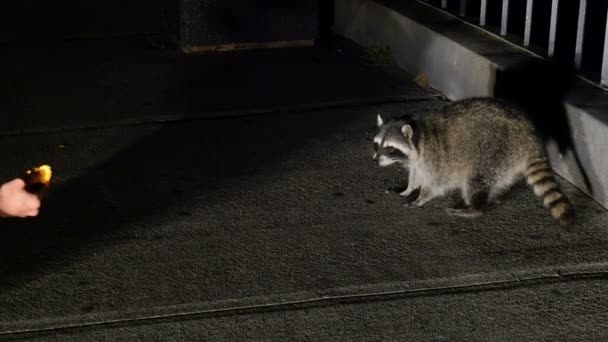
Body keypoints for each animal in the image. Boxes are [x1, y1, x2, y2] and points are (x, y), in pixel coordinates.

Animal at [372, 97, 576, 224]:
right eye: (376, 144)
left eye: (390, 148)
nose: (375, 161)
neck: (418, 134)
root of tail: (530, 135)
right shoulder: (418, 159)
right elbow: (416, 173)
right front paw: (408, 189)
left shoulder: (435, 156)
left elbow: (436, 182)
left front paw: (421, 197)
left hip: (496, 150)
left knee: (476, 179)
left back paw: (475, 208)